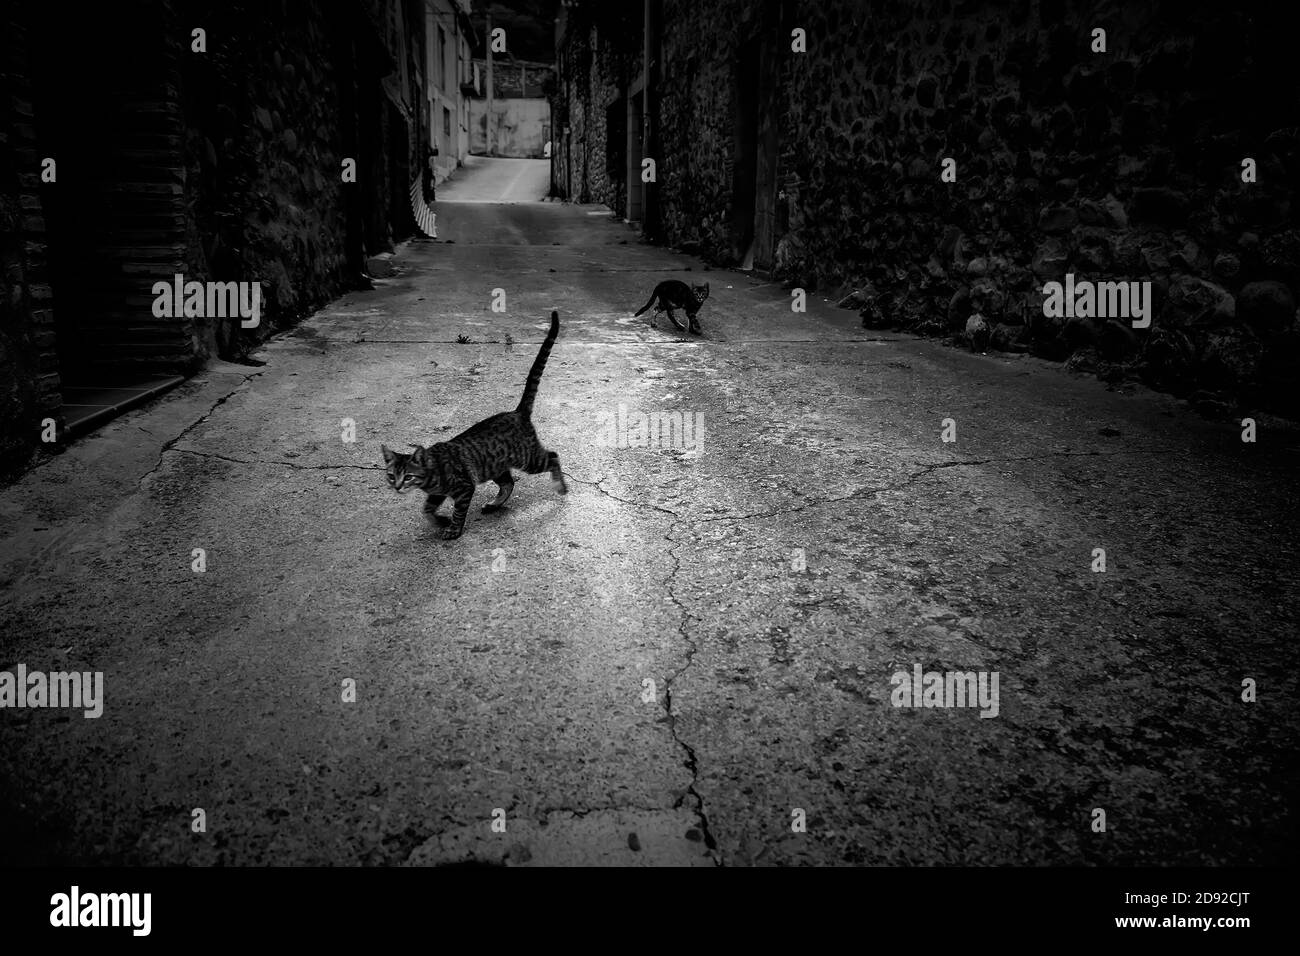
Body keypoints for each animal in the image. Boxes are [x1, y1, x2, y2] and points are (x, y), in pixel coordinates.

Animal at [382, 312, 572, 538]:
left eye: (408, 476)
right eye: (391, 476)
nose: (397, 487)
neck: (431, 472)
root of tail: (517, 412)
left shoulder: (464, 488)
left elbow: (457, 512)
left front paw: (453, 529)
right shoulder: (437, 494)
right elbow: (426, 510)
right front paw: (439, 521)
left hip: (528, 459)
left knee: (553, 456)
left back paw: (560, 487)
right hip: (496, 466)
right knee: (508, 484)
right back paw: (494, 504)